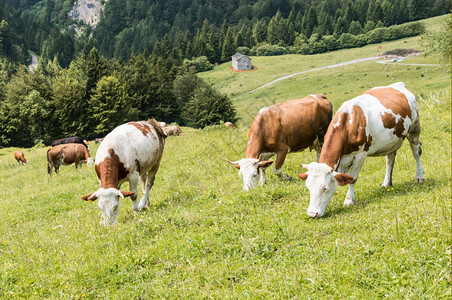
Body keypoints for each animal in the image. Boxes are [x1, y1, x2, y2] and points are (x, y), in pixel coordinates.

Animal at [300, 82, 424, 218]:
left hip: (414, 129)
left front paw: (349, 200)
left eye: (325, 188)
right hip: (390, 140)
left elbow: (353, 178)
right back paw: (387, 182)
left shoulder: (360, 155)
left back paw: (420, 176)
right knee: (390, 159)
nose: (312, 213)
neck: (347, 123)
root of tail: (399, 84)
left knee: (416, 152)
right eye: (308, 187)